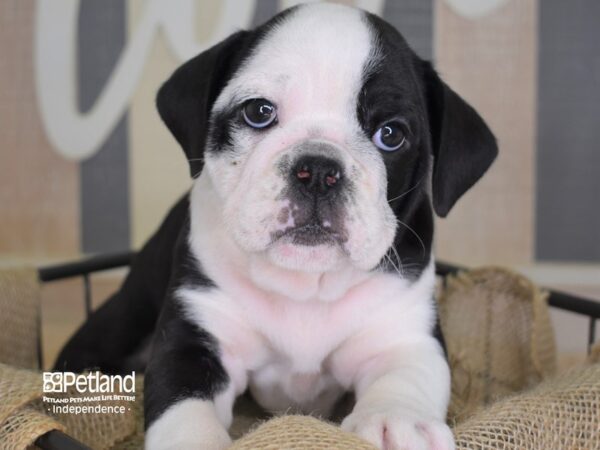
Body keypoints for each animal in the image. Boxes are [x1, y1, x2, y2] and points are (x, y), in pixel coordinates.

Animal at [55, 3, 496, 450]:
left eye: (391, 134)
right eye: (258, 112)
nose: (318, 170)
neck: (305, 285)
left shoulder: (403, 334)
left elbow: (404, 378)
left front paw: (394, 421)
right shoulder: (194, 341)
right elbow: (185, 408)